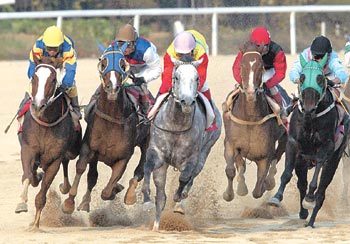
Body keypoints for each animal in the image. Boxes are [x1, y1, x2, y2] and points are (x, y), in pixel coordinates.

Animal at [15, 54, 81, 229]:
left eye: (53, 79)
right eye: (34, 77)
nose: (38, 105)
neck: (45, 122)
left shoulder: (54, 158)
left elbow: (43, 191)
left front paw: (36, 225)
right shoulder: (28, 149)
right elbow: (28, 176)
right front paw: (21, 203)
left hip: (72, 150)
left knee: (66, 160)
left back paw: (65, 187)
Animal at [61, 43, 149, 214]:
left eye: (122, 63)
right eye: (103, 63)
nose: (112, 88)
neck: (112, 119)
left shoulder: (124, 156)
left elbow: (107, 191)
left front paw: (115, 190)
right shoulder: (89, 148)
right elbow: (81, 168)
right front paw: (69, 202)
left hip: (146, 142)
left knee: (140, 169)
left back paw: (129, 195)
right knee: (92, 176)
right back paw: (85, 202)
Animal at [141, 59, 220, 231]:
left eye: (197, 78)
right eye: (176, 77)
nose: (187, 102)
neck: (176, 124)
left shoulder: (191, 159)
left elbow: (184, 177)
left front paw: (178, 198)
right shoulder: (157, 155)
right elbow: (147, 168)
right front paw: (145, 198)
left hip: (205, 152)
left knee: (192, 177)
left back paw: (180, 201)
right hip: (163, 167)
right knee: (161, 196)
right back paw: (156, 225)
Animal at [223, 42, 286, 201]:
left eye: (261, 66)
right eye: (241, 65)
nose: (251, 92)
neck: (250, 118)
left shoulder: (265, 154)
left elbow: (258, 188)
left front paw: (264, 185)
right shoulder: (231, 144)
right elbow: (231, 170)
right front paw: (230, 193)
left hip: (285, 137)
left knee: (277, 156)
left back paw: (269, 181)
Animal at [268, 53, 350, 227]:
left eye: (320, 78)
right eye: (302, 77)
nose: (308, 108)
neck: (311, 119)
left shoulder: (327, 147)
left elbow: (317, 176)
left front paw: (310, 197)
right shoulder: (293, 144)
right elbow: (287, 174)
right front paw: (276, 198)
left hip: (335, 159)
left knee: (322, 190)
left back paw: (311, 219)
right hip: (302, 161)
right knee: (302, 184)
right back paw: (304, 213)